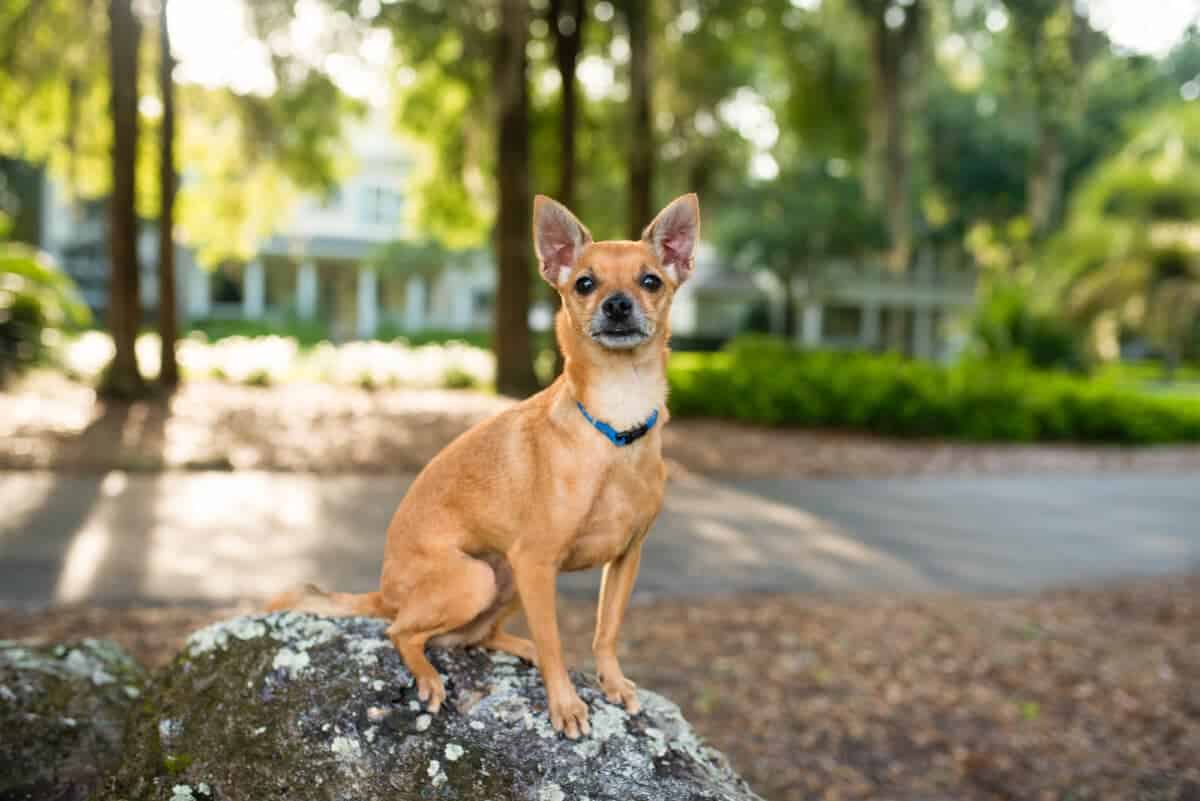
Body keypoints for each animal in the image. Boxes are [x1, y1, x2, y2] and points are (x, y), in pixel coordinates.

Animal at [270, 191, 700, 738]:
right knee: (401, 631)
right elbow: (557, 642)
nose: (618, 304)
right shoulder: (538, 563)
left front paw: (612, 682)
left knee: (472, 636)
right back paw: (430, 676)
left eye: (651, 281)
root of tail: (384, 591)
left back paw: (518, 646)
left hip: (505, 576)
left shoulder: (625, 559)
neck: (614, 422)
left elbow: (606, 629)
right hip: (481, 578)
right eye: (585, 283)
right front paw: (565, 705)